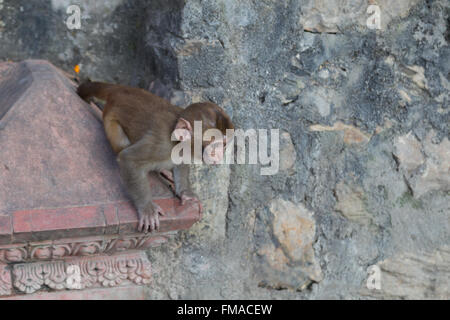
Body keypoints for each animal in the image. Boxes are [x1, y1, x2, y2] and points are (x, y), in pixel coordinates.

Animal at [77, 80, 234, 232]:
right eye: (215, 143)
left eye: (224, 144)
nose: (220, 154)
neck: (177, 141)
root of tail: (119, 89)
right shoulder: (161, 145)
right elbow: (129, 159)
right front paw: (147, 208)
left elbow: (181, 165)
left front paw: (187, 194)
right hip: (111, 122)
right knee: (121, 144)